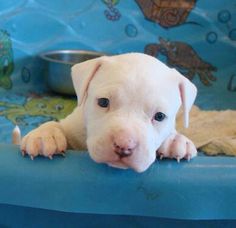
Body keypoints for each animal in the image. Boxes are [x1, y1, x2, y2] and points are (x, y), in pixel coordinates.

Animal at [20, 52, 197, 172]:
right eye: (103, 102)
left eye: (160, 116)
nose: (124, 145)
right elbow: (58, 125)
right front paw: (43, 135)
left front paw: (175, 140)